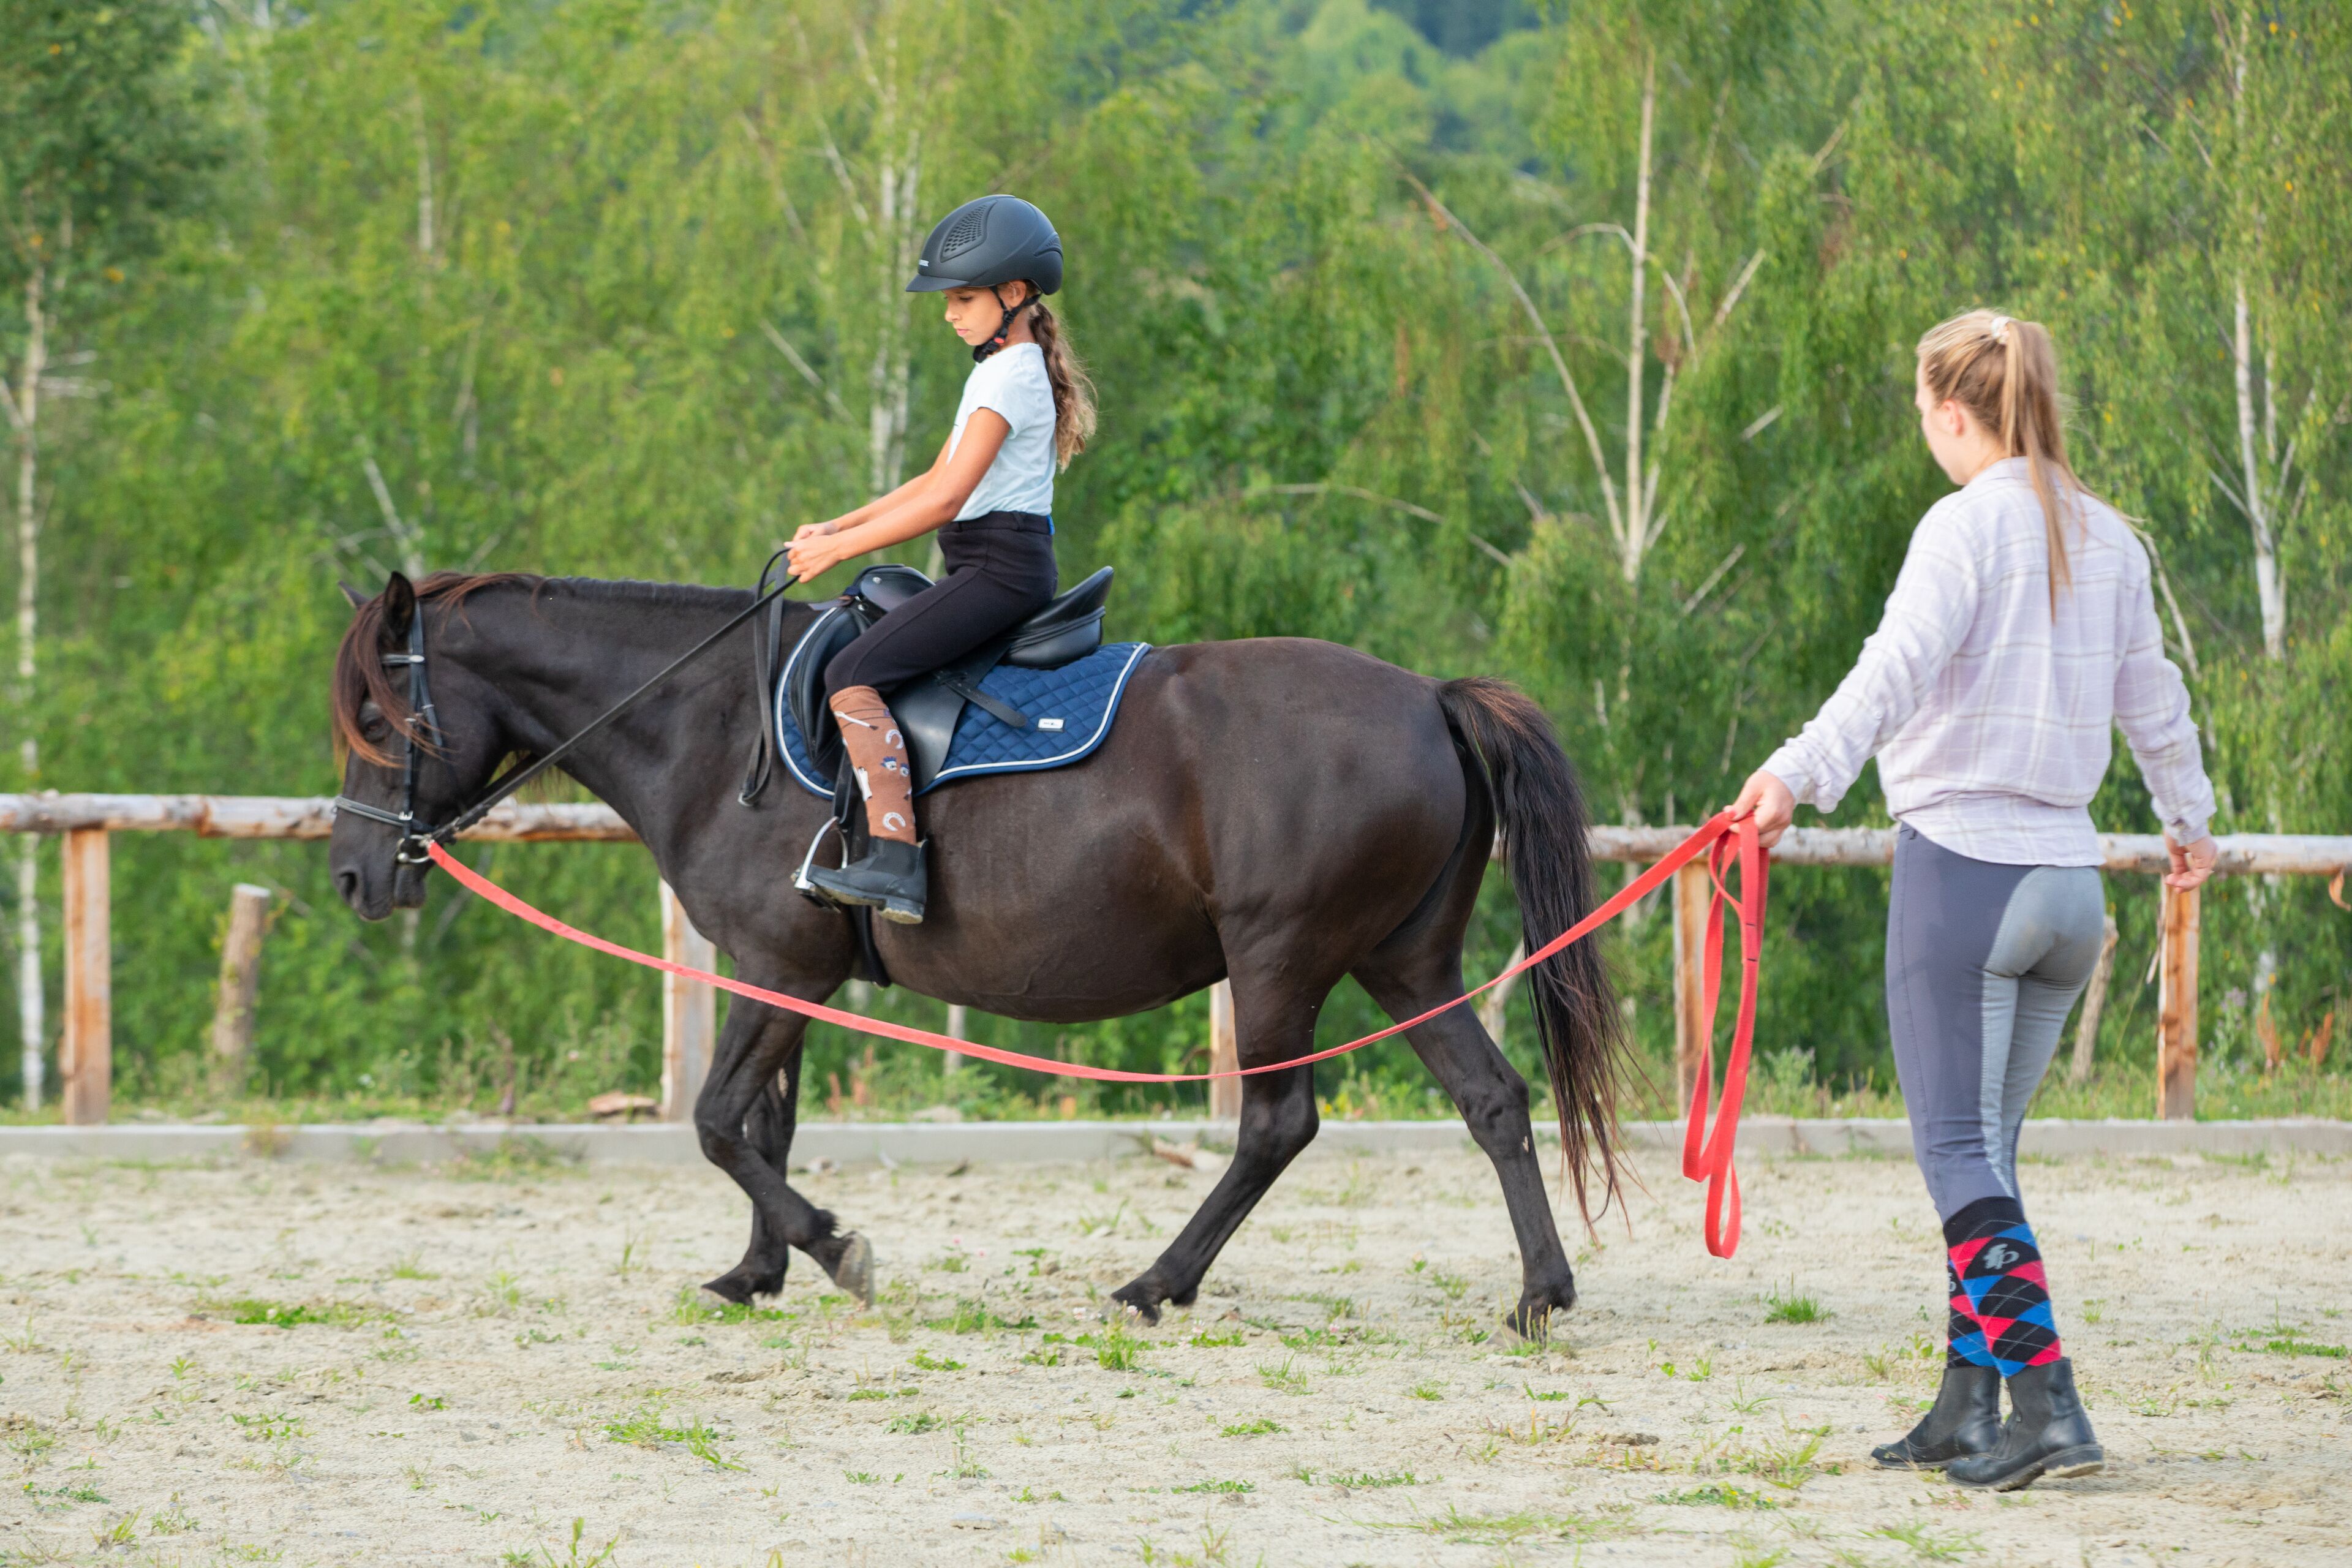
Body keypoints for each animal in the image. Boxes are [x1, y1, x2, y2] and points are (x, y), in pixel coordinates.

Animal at [328, 570, 1626, 1334]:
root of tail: (1427, 697)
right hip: (1404, 962)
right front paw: (758, 1271)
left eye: (380, 722)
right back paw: (1540, 1293)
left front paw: (833, 1249)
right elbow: (763, 1126)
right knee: (1493, 1101)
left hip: (1282, 960)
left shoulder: (776, 965)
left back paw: (1158, 1282)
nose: (352, 877)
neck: (716, 723)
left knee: (1276, 1124)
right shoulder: (784, 971)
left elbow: (715, 1122)